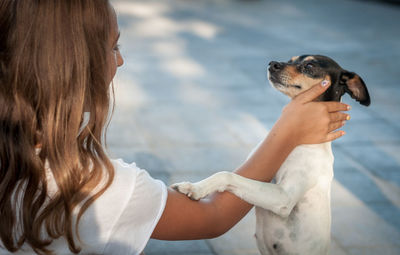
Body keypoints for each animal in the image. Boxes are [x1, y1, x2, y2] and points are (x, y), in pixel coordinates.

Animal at [170, 54, 370, 254]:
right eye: (291, 59)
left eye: (310, 65)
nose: (272, 64)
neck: (298, 141)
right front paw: (196, 186)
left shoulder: (284, 197)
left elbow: (227, 175)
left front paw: (194, 188)